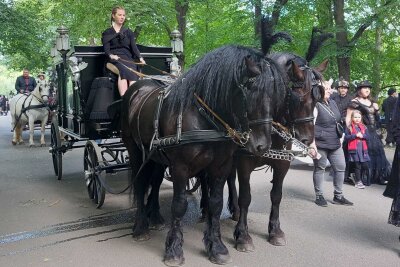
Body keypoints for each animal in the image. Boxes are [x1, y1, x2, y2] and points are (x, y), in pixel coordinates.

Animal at [122, 45, 288, 266]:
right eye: (250, 90)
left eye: (276, 95)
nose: (262, 145)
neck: (204, 117)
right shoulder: (180, 167)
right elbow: (179, 205)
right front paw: (174, 250)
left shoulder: (220, 166)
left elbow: (215, 204)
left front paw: (216, 247)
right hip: (135, 151)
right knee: (140, 184)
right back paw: (140, 227)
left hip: (156, 157)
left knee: (155, 182)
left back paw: (155, 217)